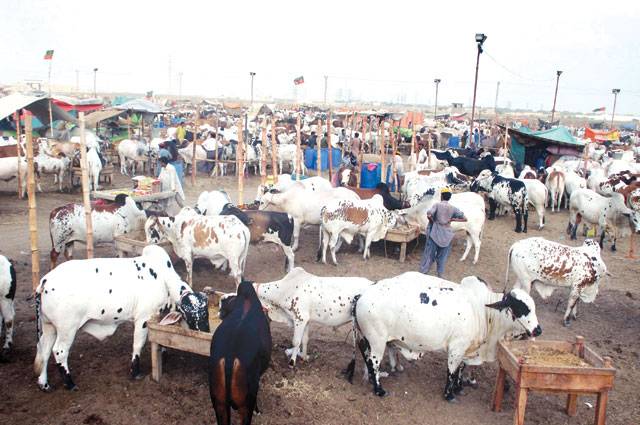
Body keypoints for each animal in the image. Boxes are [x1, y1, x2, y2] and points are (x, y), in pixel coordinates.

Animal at [34, 243, 208, 390]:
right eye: (191, 316)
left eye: (205, 313)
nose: (205, 332)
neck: (163, 279)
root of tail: (45, 280)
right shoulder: (143, 319)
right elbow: (138, 345)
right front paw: (135, 372)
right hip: (67, 329)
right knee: (59, 351)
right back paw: (70, 384)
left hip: (49, 326)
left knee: (44, 349)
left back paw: (44, 383)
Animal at [348, 272, 544, 400]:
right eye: (521, 307)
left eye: (533, 307)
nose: (538, 330)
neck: (481, 310)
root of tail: (361, 295)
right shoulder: (457, 347)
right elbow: (452, 369)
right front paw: (449, 394)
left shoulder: (466, 348)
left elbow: (460, 368)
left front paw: (458, 387)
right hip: (377, 341)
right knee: (373, 362)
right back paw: (379, 390)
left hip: (368, 339)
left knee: (366, 357)